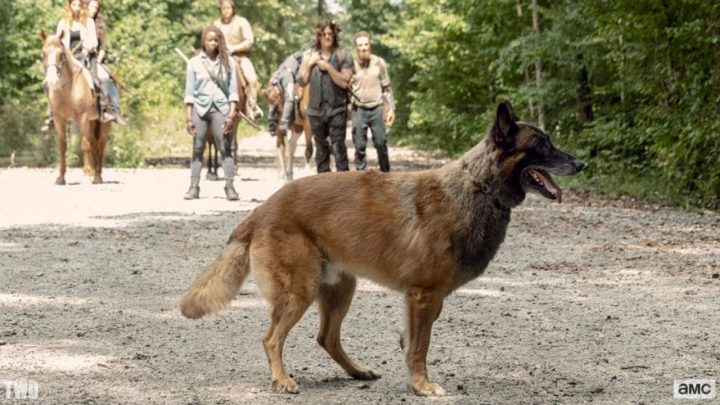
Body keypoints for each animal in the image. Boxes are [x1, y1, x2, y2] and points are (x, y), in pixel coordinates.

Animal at [40, 31, 110, 183]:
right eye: (43, 54)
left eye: (61, 54)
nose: (51, 80)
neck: (66, 89)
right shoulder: (59, 119)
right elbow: (63, 146)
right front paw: (61, 178)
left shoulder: (83, 118)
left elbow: (86, 144)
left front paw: (93, 175)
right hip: (91, 122)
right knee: (94, 142)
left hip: (103, 124)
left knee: (100, 145)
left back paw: (98, 174)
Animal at [180, 100, 584, 394]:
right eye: (541, 145)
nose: (581, 163)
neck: (478, 187)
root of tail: (261, 210)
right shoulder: (423, 297)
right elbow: (419, 348)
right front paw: (422, 387)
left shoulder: (426, 301)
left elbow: (413, 345)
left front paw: (415, 382)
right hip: (301, 291)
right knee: (271, 339)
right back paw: (281, 380)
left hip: (340, 289)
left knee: (326, 338)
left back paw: (357, 372)